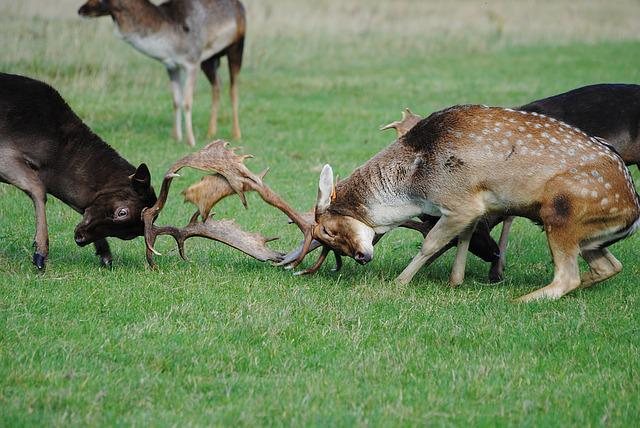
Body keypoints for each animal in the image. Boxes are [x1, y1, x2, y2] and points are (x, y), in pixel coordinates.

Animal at [0, 72, 158, 270]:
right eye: (122, 212)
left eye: (128, 235)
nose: (80, 238)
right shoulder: (4, 153)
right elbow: (38, 188)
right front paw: (40, 253)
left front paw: (105, 254)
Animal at [78, 0, 248, 146]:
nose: (80, 10)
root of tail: (239, 5)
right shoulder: (171, 66)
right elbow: (176, 101)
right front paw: (177, 137)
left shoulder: (192, 63)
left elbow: (187, 102)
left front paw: (190, 140)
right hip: (210, 59)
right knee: (217, 84)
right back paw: (210, 133)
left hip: (236, 47)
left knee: (233, 88)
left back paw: (236, 134)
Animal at [284, 103, 640, 300]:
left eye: (329, 231)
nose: (361, 257)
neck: (414, 184)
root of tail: (632, 214)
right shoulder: (473, 207)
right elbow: (465, 237)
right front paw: (456, 281)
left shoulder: (459, 200)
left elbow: (431, 243)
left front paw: (399, 282)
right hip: (592, 237)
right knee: (610, 265)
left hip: (561, 211)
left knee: (567, 277)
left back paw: (520, 300)